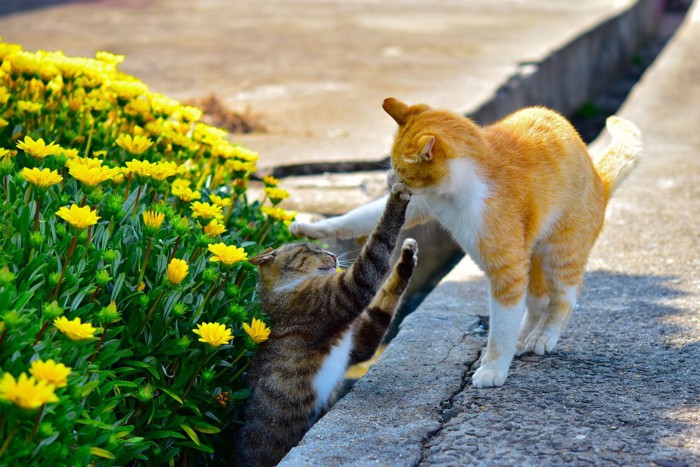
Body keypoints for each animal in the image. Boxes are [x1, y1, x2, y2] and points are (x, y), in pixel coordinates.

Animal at [238, 183, 418, 467]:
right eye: (308, 250)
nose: (333, 254)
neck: (283, 294)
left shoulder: (359, 340)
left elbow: (383, 303)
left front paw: (407, 257)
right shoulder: (339, 297)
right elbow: (375, 252)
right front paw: (398, 196)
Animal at [288, 98, 640, 392]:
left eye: (400, 169)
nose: (389, 181)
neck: (453, 195)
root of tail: (599, 179)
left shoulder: (507, 271)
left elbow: (500, 330)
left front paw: (493, 369)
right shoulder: (421, 205)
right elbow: (359, 217)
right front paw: (312, 227)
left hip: (560, 252)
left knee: (565, 296)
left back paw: (543, 335)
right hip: (533, 256)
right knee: (538, 301)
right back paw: (525, 336)